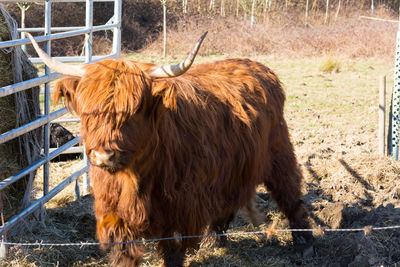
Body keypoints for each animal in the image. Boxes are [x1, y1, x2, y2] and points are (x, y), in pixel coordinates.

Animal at [28, 32, 316, 266]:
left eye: (133, 111)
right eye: (88, 113)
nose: (102, 155)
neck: (135, 176)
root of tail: (256, 66)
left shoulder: (179, 209)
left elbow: (173, 252)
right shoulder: (115, 211)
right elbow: (124, 252)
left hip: (279, 152)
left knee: (290, 194)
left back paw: (304, 244)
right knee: (226, 205)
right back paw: (213, 242)